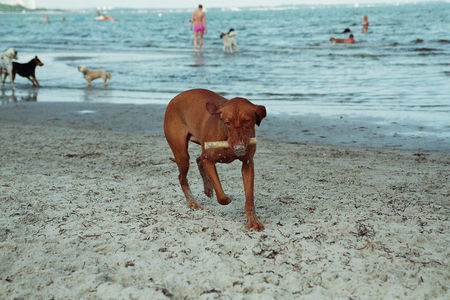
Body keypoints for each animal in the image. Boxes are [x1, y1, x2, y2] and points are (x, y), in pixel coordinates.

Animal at [163, 88, 266, 231]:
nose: (239, 148)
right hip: (182, 154)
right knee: (182, 177)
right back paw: (192, 202)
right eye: (227, 122)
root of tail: (175, 98)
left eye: (247, 121)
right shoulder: (209, 160)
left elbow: (249, 197)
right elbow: (221, 195)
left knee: (198, 159)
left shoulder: (247, 163)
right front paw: (227, 198)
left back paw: (207, 188)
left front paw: (253, 220)